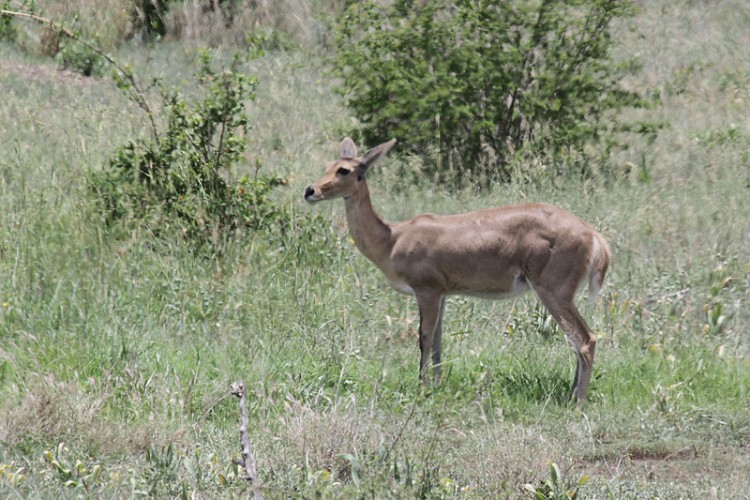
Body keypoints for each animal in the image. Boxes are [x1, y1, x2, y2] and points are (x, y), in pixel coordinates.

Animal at [304, 138, 612, 402]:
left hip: (553, 292)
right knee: (577, 340)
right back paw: (572, 393)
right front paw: (438, 385)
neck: (392, 238)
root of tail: (595, 237)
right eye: (327, 165)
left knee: (586, 339)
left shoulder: (427, 290)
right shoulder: (443, 294)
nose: (310, 191)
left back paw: (578, 400)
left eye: (344, 169)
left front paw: (421, 387)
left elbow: (424, 338)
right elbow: (439, 341)